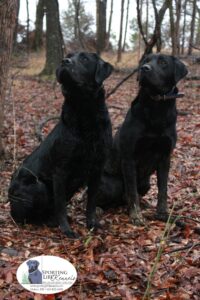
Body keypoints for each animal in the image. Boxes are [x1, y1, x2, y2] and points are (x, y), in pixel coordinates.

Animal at [9, 52, 112, 239]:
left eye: (84, 59)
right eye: (69, 56)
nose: (65, 61)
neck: (85, 113)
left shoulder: (97, 169)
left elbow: (91, 202)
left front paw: (92, 223)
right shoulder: (60, 171)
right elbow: (61, 205)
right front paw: (67, 230)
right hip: (38, 186)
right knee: (24, 216)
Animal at [96, 53, 187, 225]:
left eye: (163, 62)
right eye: (146, 61)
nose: (144, 69)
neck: (156, 109)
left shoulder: (165, 157)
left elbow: (163, 189)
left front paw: (163, 214)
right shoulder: (129, 158)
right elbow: (131, 190)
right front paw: (136, 215)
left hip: (146, 184)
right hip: (113, 184)